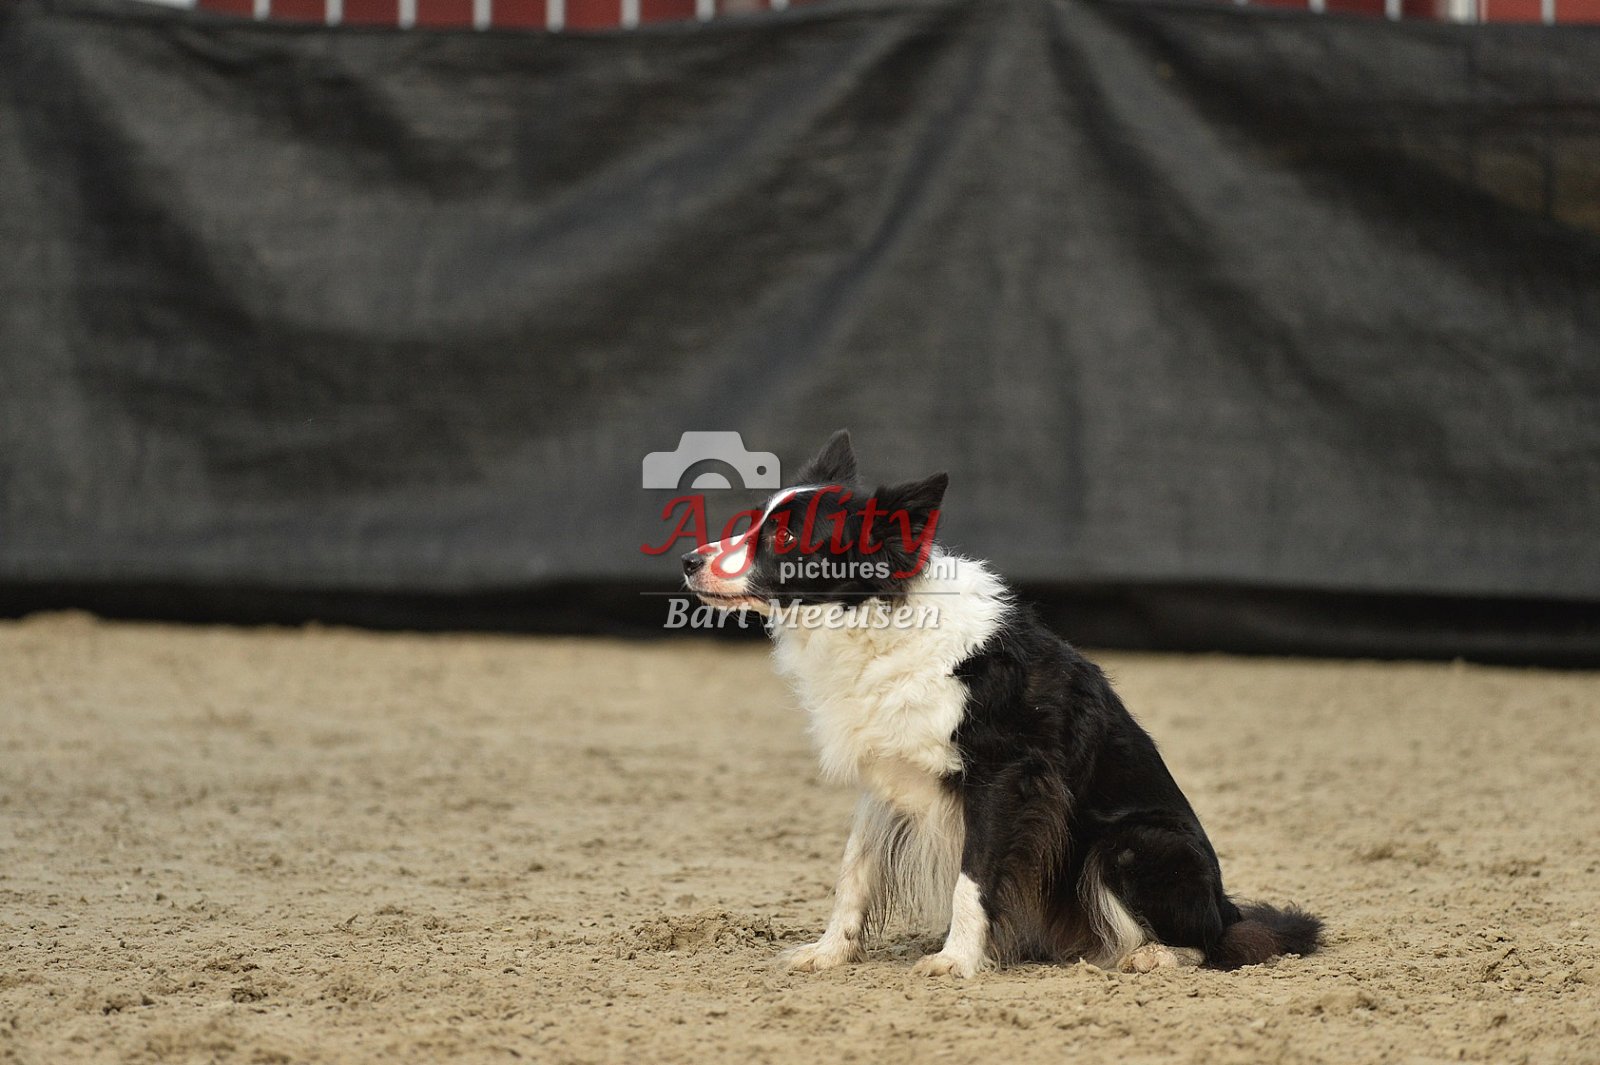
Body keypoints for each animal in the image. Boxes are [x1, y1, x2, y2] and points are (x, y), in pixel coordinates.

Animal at [681, 430, 1323, 976]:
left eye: (788, 538)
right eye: (756, 524)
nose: (689, 562)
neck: (877, 617)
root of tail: (1225, 903)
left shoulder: (1005, 777)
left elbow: (973, 879)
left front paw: (956, 962)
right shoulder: (884, 771)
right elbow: (853, 870)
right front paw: (830, 952)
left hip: (1132, 845)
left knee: (1218, 942)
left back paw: (1154, 956)